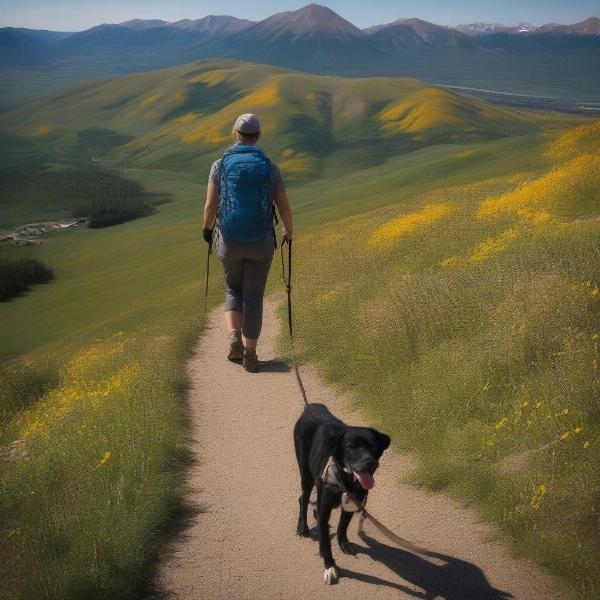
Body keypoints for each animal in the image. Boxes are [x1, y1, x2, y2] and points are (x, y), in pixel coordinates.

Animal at [294, 404, 390, 580]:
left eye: (372, 445)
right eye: (350, 447)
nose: (369, 462)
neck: (346, 481)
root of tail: (311, 407)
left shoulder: (352, 504)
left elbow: (342, 526)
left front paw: (343, 543)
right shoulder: (324, 508)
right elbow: (326, 543)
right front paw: (329, 567)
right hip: (306, 473)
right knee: (303, 498)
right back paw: (303, 527)